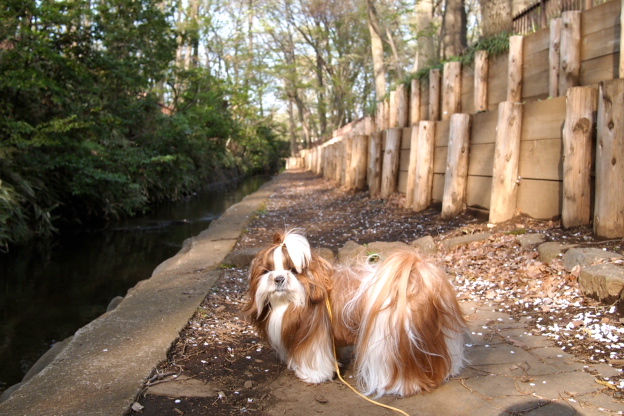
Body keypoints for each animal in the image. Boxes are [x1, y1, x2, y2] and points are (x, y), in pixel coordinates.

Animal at [245, 231, 468, 396]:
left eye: (293, 270)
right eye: (267, 271)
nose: (279, 278)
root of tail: (417, 279)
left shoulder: (313, 334)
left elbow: (313, 357)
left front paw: (312, 375)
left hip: (392, 340)